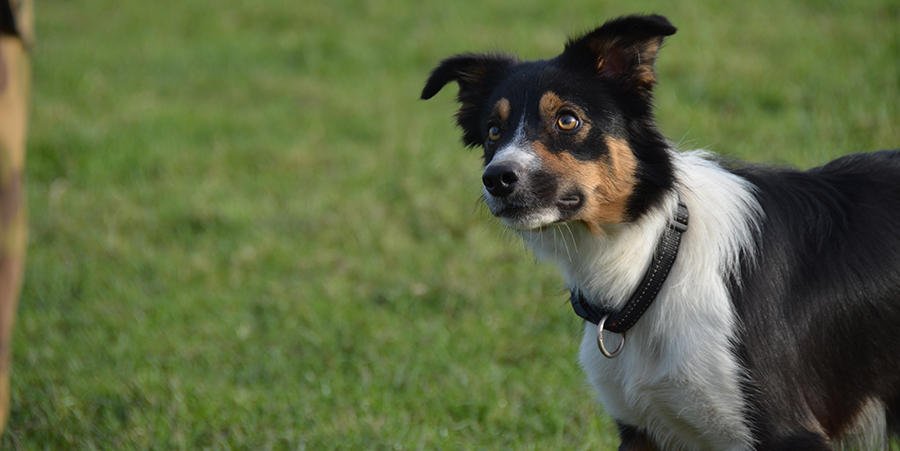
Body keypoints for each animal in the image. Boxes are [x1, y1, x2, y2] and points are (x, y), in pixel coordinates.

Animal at [420, 14, 900, 451]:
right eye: (493, 131)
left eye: (568, 120)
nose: (497, 179)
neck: (655, 260)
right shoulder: (642, 431)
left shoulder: (786, 431)